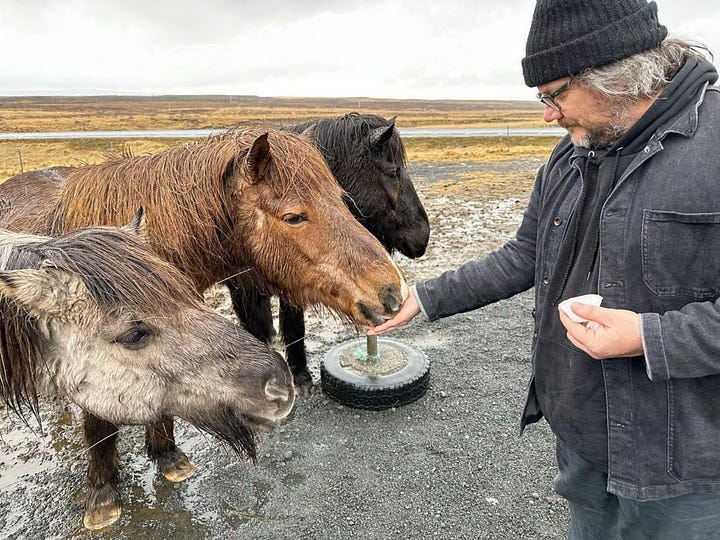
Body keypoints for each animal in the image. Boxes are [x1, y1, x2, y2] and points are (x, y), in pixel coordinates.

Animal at [228, 114, 430, 390]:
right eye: (394, 172)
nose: (423, 235)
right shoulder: (244, 292)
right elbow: (258, 334)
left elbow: (294, 327)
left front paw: (301, 375)